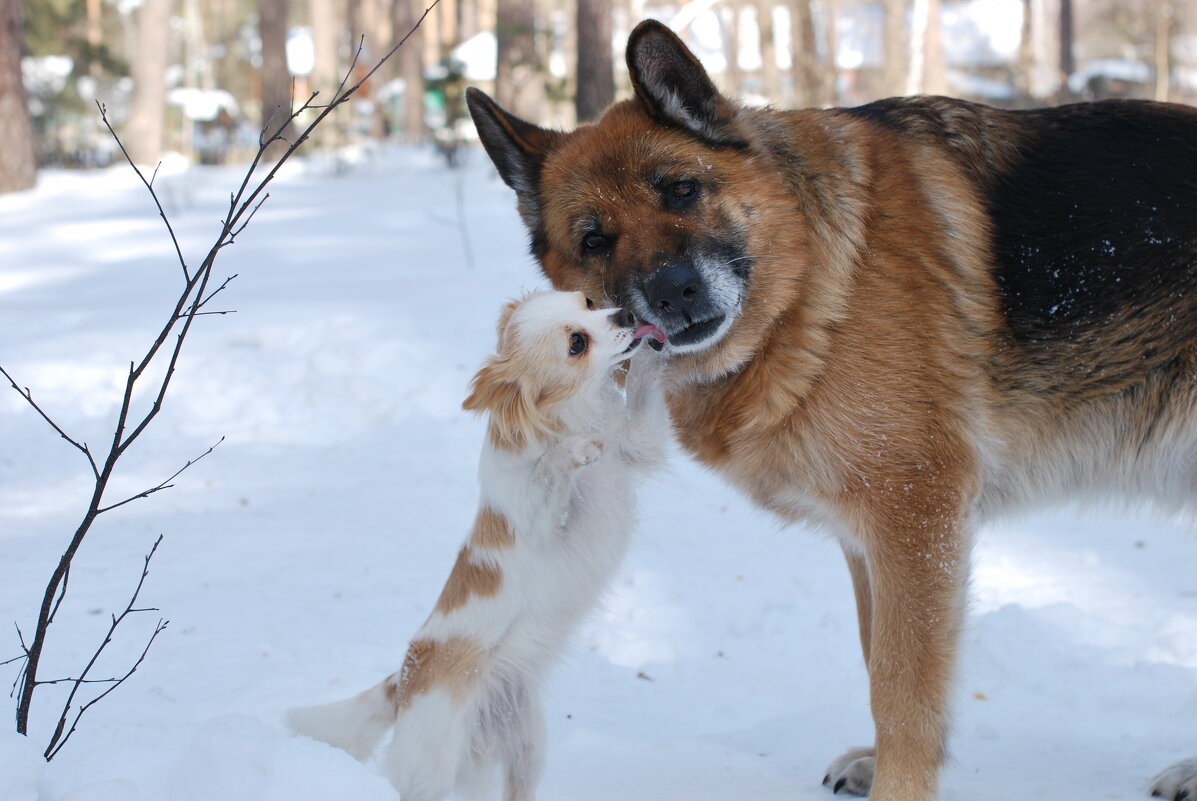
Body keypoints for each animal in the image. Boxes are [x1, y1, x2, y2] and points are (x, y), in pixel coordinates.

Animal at [286, 290, 670, 799]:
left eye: (587, 302)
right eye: (577, 344)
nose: (627, 312)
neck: (581, 413)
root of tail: (402, 681)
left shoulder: (638, 444)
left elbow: (642, 399)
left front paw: (654, 352)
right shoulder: (542, 525)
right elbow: (552, 466)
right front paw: (573, 451)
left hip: (526, 747)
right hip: (431, 770)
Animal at [462, 17, 1197, 799]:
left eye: (683, 190)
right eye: (595, 239)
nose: (673, 291)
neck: (815, 282)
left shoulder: (914, 520)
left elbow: (903, 691)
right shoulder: (872, 539)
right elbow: (881, 667)